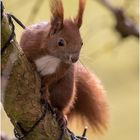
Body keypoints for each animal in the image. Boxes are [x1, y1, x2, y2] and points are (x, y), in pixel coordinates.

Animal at [20, 0, 108, 133]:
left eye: (82, 42)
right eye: (60, 42)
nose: (74, 59)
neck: (52, 56)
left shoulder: (63, 67)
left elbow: (52, 78)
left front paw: (44, 90)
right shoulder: (28, 44)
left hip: (65, 89)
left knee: (60, 105)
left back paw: (61, 115)